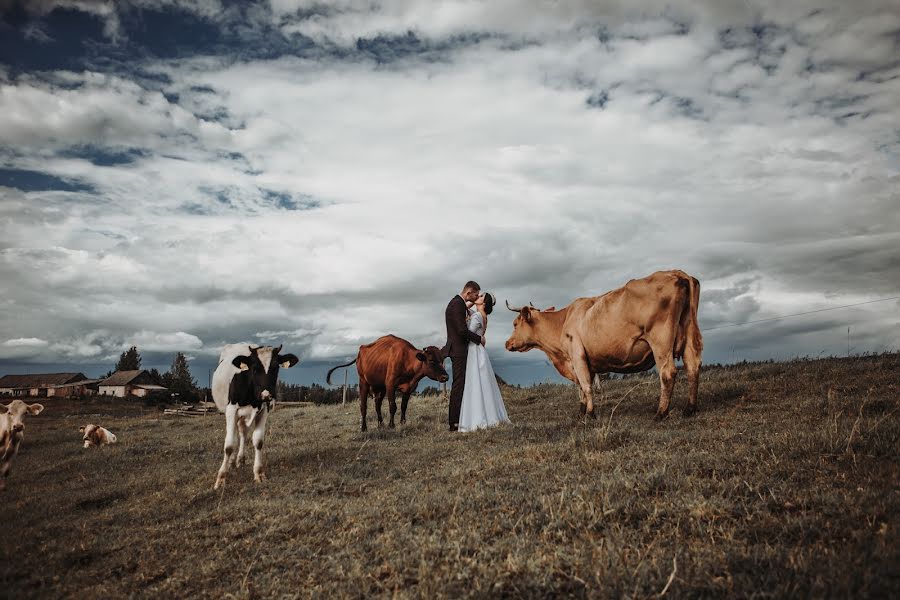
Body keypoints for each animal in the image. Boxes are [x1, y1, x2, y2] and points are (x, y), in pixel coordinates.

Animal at [211, 344, 298, 490]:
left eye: (276, 367)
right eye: (255, 368)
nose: (266, 395)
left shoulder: (264, 409)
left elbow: (258, 441)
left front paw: (259, 473)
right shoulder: (231, 409)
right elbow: (229, 445)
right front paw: (221, 478)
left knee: (242, 433)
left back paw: (239, 459)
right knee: (235, 436)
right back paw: (231, 462)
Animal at [506, 270, 704, 420]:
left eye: (515, 324)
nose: (507, 343)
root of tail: (678, 273)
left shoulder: (577, 355)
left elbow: (586, 386)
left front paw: (590, 415)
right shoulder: (586, 361)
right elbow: (581, 387)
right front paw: (581, 411)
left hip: (660, 341)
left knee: (668, 372)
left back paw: (660, 413)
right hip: (689, 334)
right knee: (693, 366)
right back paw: (690, 409)